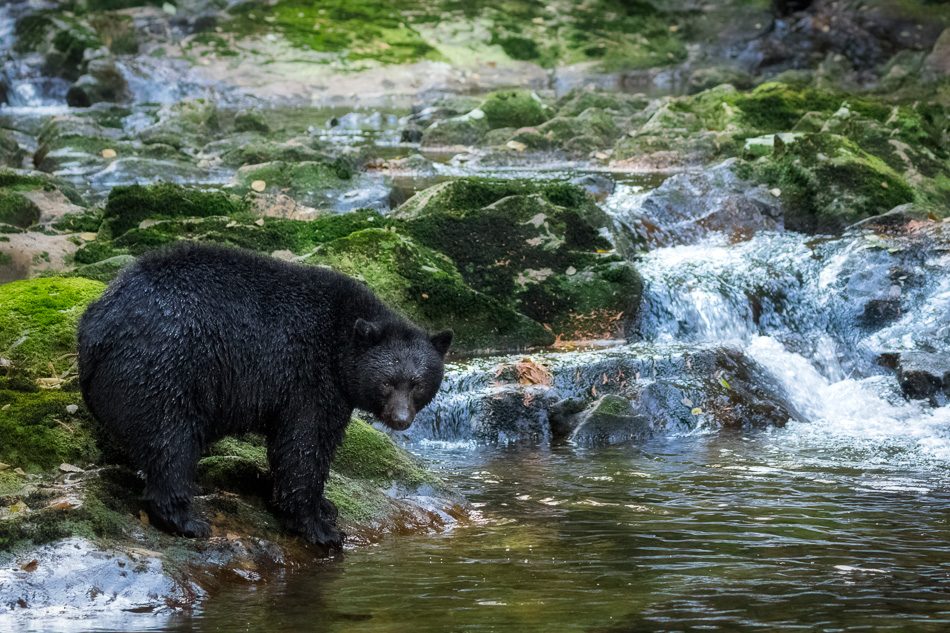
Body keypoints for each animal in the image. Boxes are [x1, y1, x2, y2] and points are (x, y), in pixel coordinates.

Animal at [77, 242, 452, 549]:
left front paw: (324, 507)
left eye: (417, 384)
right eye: (387, 382)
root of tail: (99, 327)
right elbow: (304, 444)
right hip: (166, 367)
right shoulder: (311, 377)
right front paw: (318, 526)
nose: (401, 419)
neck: (341, 343)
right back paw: (186, 520)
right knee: (171, 442)